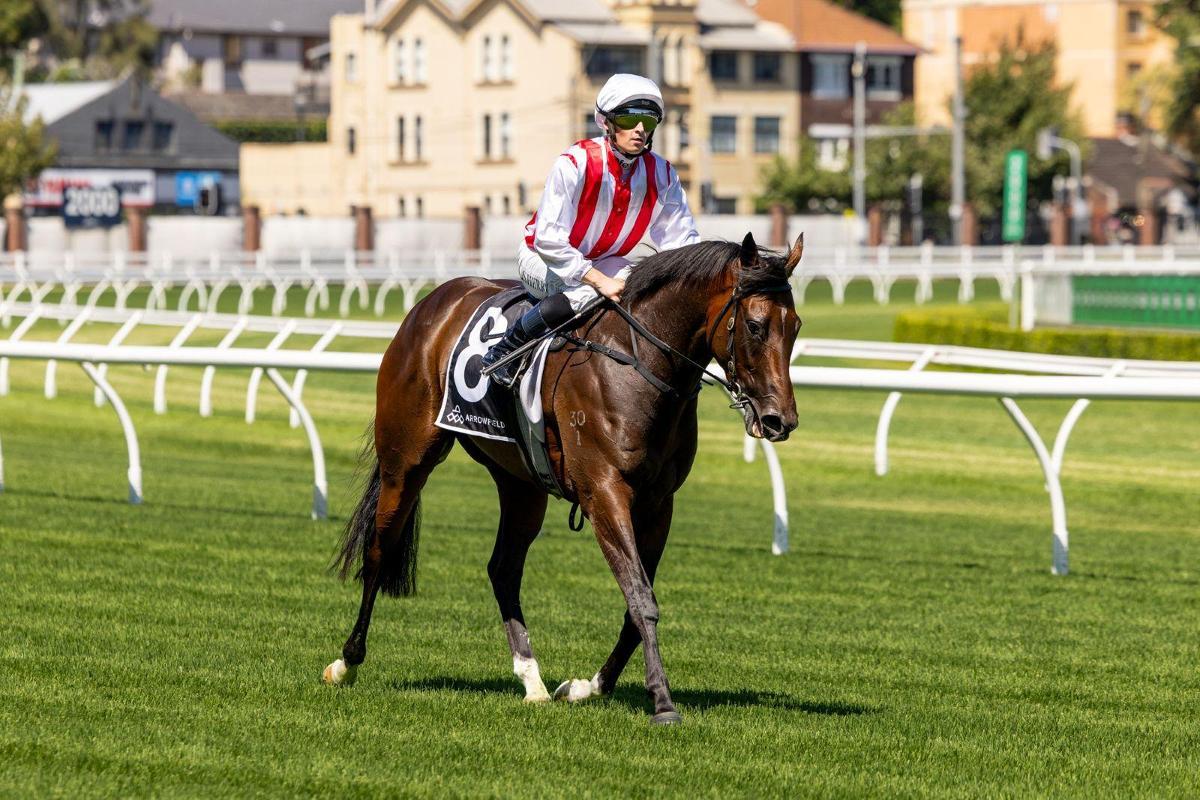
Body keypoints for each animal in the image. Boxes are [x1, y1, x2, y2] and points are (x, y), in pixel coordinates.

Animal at [323, 232, 804, 725]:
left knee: (503, 568)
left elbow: (636, 606)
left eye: (796, 325)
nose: (779, 420)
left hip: (520, 482)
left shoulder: (658, 502)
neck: (637, 365)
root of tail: (431, 303)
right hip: (406, 460)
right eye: (755, 326)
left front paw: (588, 687)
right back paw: (346, 662)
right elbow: (641, 598)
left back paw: (531, 680)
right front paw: (663, 702)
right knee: (379, 549)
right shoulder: (604, 492)